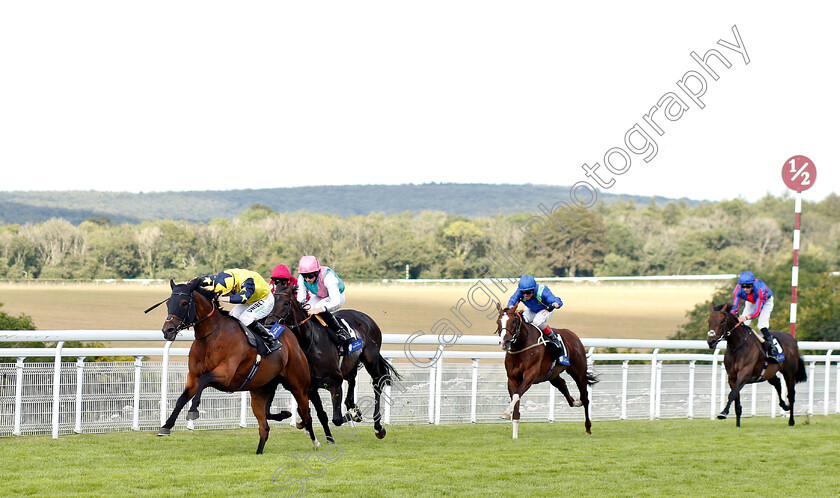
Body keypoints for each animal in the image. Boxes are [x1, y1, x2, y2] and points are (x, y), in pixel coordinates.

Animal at [155, 278, 318, 454]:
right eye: (168, 303)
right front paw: (166, 426)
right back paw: (263, 445)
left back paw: (315, 442)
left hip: (299, 387)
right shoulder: (193, 377)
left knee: (306, 414)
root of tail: (291, 337)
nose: (168, 330)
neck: (211, 337)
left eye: (184, 303)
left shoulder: (225, 375)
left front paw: (193, 411)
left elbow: (204, 380)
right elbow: (181, 398)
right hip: (260, 390)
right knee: (264, 427)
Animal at [268, 286, 402, 442]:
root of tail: (366, 318)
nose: (268, 323)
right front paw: (329, 438)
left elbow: (337, 419)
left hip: (371, 359)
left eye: (286, 303)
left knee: (377, 384)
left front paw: (356, 414)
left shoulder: (335, 382)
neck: (310, 343)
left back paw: (378, 427)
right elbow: (322, 414)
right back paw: (352, 406)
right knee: (352, 380)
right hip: (350, 363)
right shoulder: (311, 387)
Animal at [496, 304, 592, 440]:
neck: (522, 345)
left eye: (513, 321)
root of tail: (573, 335)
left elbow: (516, 395)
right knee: (563, 385)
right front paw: (514, 434)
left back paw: (588, 427)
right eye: (498, 322)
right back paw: (576, 402)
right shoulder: (512, 378)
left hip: (579, 372)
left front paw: (505, 413)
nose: (504, 342)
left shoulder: (530, 375)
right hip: (552, 375)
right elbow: (516, 398)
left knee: (585, 397)